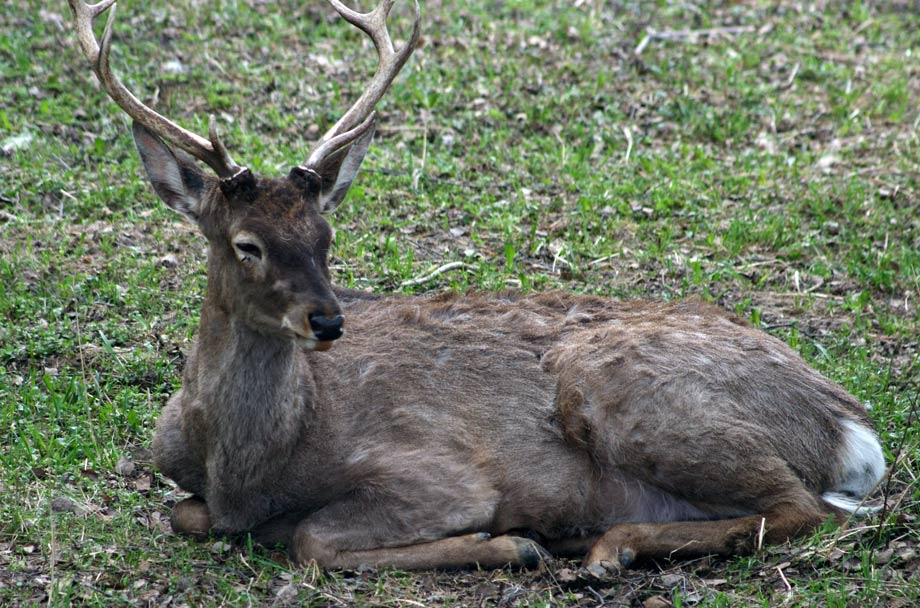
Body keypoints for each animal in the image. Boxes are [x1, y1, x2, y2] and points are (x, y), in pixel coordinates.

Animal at [69, 0, 886, 573]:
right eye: (248, 244)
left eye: (327, 237)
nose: (329, 321)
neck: (246, 466)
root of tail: (848, 425)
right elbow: (186, 513)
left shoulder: (440, 474)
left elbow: (312, 539)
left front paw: (508, 544)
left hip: (629, 395)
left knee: (799, 506)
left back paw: (601, 546)